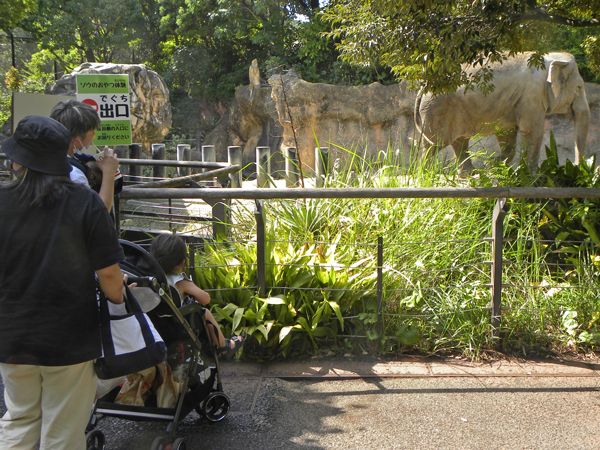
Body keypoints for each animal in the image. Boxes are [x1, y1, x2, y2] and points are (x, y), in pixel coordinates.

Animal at [414, 51, 588, 173]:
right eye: (579, 87)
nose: (574, 166)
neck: (553, 58)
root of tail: (423, 86)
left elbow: (507, 133)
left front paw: (492, 164)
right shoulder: (532, 94)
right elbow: (532, 131)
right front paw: (531, 175)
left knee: (459, 140)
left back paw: (471, 173)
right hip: (437, 109)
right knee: (434, 144)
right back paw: (425, 173)